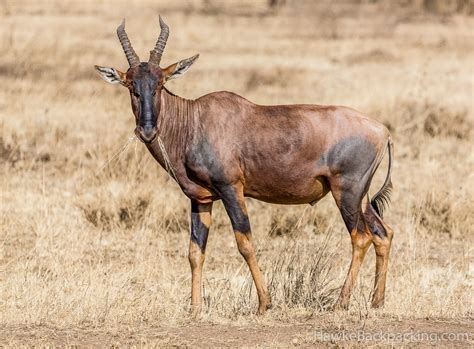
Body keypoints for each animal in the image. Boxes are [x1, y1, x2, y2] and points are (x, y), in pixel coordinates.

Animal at [95, 16, 392, 316]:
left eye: (159, 83)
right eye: (131, 86)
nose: (147, 131)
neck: (195, 121)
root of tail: (382, 131)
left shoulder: (231, 189)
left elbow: (245, 243)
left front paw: (264, 304)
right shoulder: (200, 199)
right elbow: (195, 251)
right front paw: (195, 309)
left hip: (347, 193)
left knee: (361, 237)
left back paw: (341, 303)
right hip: (362, 196)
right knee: (382, 233)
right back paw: (376, 301)